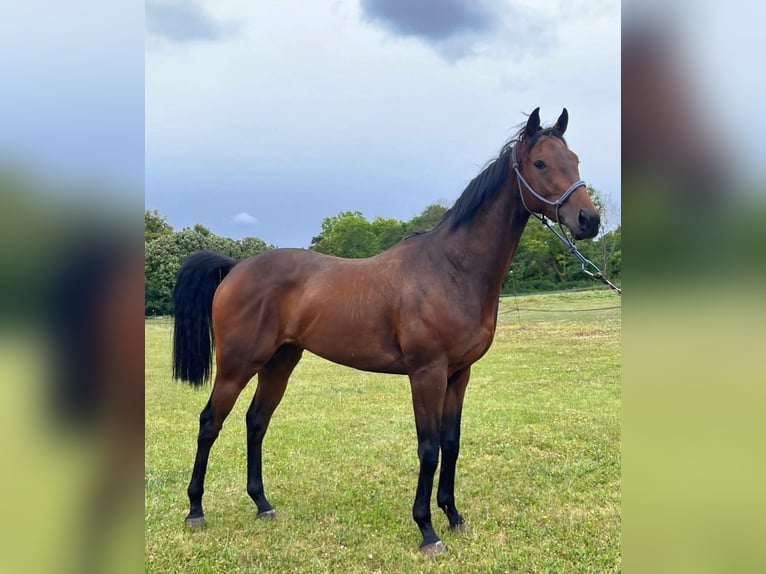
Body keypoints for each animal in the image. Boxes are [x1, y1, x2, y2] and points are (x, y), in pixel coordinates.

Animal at [172, 108, 600, 560]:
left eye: (574, 159)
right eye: (541, 163)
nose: (589, 220)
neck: (451, 269)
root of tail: (236, 267)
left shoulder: (459, 374)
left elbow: (451, 443)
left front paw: (454, 516)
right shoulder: (427, 373)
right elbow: (428, 448)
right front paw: (427, 530)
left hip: (280, 361)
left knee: (256, 421)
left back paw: (262, 504)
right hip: (238, 365)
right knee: (210, 422)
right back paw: (196, 510)